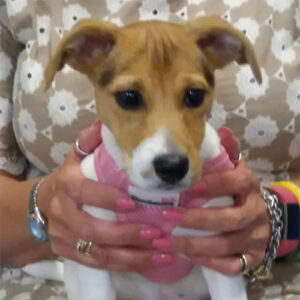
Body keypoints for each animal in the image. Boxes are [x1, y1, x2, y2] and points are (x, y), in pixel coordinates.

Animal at [42, 17, 262, 300]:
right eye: (128, 97)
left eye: (195, 95)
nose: (172, 167)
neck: (155, 199)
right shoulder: (95, 262)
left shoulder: (219, 255)